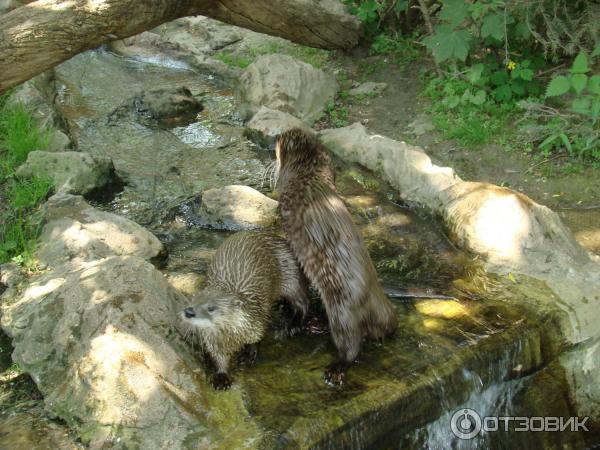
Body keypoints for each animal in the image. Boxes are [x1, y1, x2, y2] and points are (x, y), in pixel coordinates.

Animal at [178, 230, 310, 388]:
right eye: (193, 300)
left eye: (211, 308)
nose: (189, 312)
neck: (234, 335)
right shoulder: (213, 340)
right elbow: (218, 357)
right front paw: (221, 377)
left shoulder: (257, 321)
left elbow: (256, 339)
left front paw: (247, 355)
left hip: (292, 278)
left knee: (303, 303)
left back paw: (292, 326)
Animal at [276, 127, 398, 386]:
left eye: (280, 141)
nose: (275, 138)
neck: (306, 175)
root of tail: (381, 305)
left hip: (343, 312)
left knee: (352, 345)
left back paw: (336, 370)